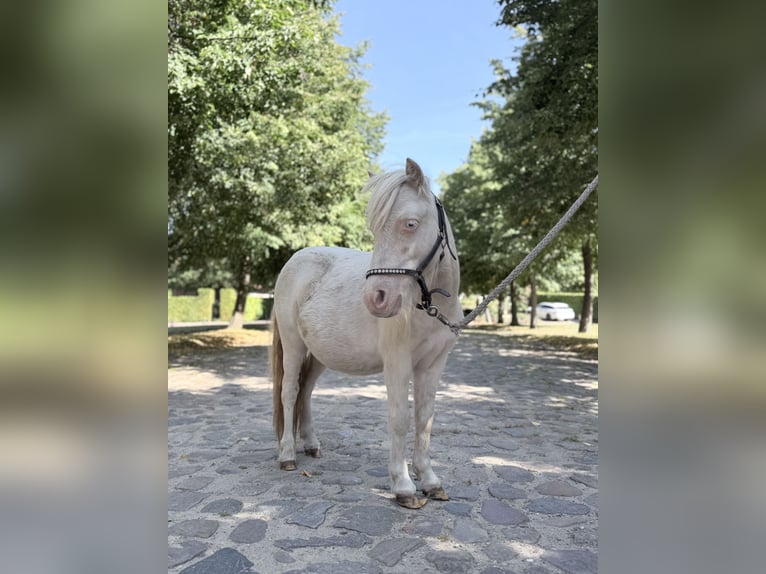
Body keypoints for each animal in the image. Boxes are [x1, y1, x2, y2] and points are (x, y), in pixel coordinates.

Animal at [271, 158, 461, 509]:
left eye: (410, 224)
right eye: (373, 229)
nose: (376, 298)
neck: (427, 305)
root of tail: (295, 260)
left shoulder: (433, 366)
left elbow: (424, 419)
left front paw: (430, 481)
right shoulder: (398, 364)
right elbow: (400, 418)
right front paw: (403, 485)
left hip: (319, 355)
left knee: (306, 392)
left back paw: (312, 445)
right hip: (293, 346)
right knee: (290, 392)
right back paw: (287, 454)